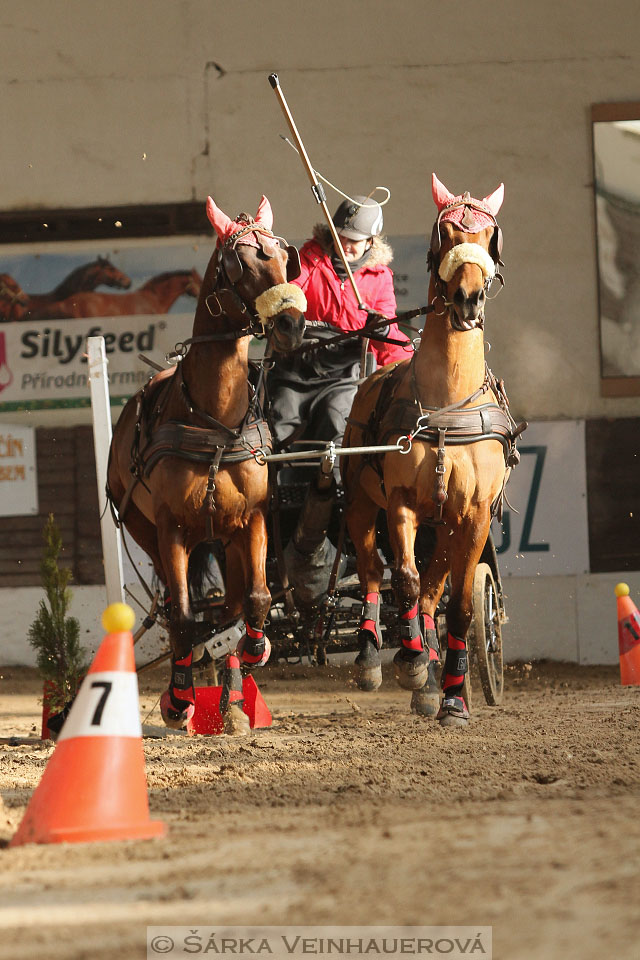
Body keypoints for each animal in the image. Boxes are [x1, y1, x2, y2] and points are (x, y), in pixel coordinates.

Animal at [106, 195, 306, 728]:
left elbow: (256, 598)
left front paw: (255, 652)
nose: (291, 324)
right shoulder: (171, 528)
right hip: (148, 532)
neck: (214, 420)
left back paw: (233, 693)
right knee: (179, 605)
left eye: (286, 258)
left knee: (233, 604)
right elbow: (181, 612)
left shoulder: (252, 520)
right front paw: (179, 698)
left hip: (226, 540)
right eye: (240, 265)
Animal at [342, 174, 524, 728]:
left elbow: (460, 604)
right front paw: (410, 661)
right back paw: (377, 654)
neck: (446, 401)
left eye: (490, 236)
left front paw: (453, 697)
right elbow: (401, 577)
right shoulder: (401, 502)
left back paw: (429, 659)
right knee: (374, 573)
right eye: (445, 233)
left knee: (433, 588)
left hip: (444, 525)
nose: (467, 298)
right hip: (363, 505)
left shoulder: (475, 516)